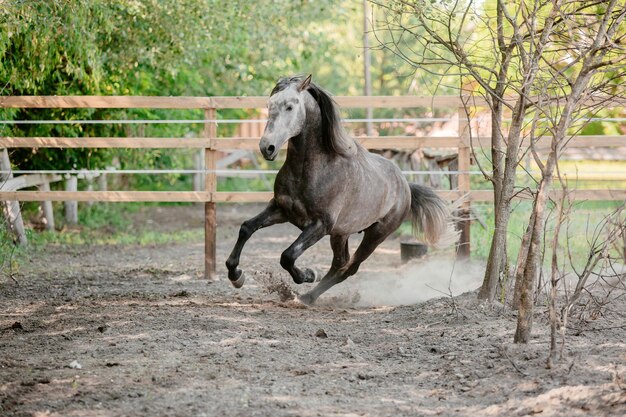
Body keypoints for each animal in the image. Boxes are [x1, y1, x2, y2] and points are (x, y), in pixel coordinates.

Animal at [224, 75, 454, 304]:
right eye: (269, 104)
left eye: (290, 106)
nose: (267, 148)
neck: (312, 170)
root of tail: (405, 185)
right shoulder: (281, 209)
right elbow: (246, 228)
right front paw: (236, 276)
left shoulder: (320, 225)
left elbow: (287, 255)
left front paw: (308, 274)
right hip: (341, 234)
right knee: (340, 263)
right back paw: (308, 295)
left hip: (376, 234)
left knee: (349, 268)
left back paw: (307, 296)